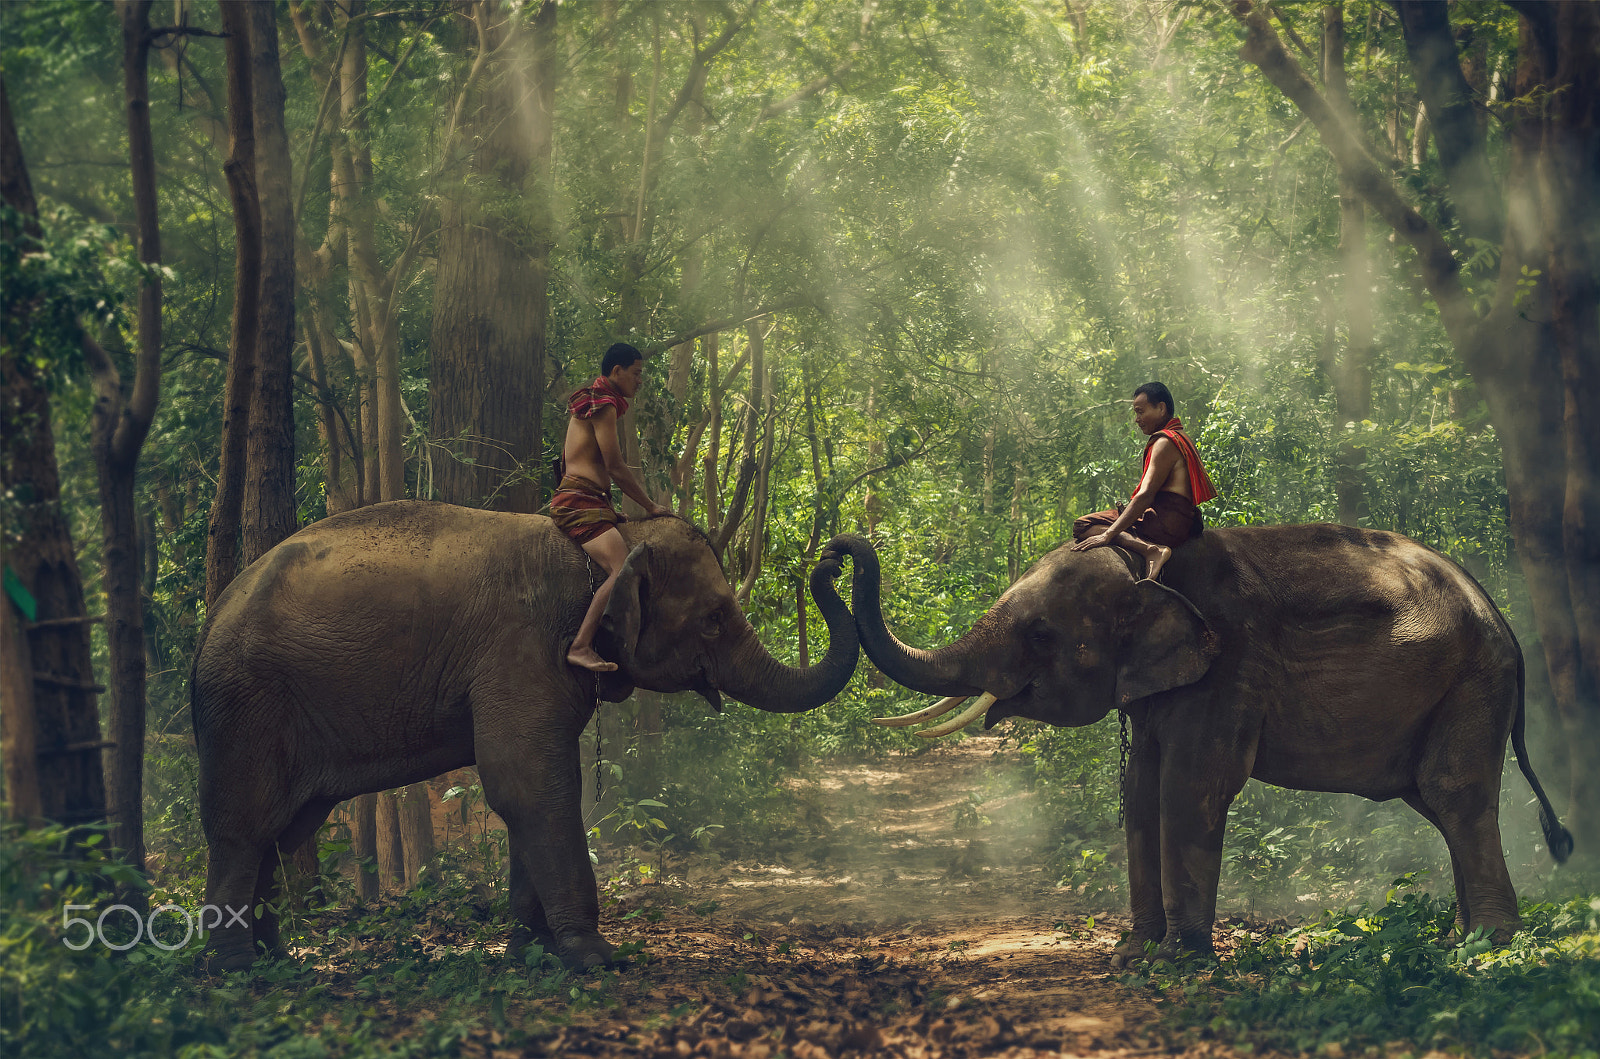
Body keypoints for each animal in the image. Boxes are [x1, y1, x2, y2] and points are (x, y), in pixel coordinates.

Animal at [192, 500, 856, 972]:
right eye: (715, 619)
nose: (834, 557)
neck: (610, 541)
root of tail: (213, 615)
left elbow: (530, 791)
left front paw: (532, 953)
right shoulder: (521, 652)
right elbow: (529, 785)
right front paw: (595, 959)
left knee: (283, 828)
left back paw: (273, 958)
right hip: (247, 706)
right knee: (247, 826)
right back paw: (236, 968)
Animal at [820, 525, 1572, 965]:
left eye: (1040, 633)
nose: (831, 552)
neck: (1148, 570)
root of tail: (1502, 618)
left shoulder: (1229, 664)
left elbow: (1191, 787)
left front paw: (1178, 959)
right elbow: (1141, 790)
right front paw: (1134, 953)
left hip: (1472, 685)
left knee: (1456, 796)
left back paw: (1487, 947)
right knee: (1438, 805)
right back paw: (1459, 937)